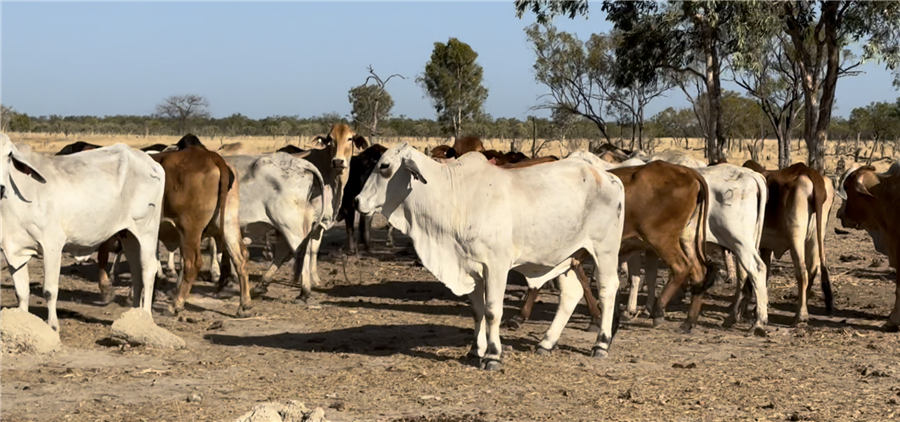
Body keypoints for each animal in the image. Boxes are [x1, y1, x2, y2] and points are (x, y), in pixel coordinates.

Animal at [740, 160, 832, 324]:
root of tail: (810, 172)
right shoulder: (766, 247)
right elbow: (765, 271)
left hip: (796, 238)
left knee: (802, 272)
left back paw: (801, 315)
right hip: (816, 237)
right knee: (812, 270)